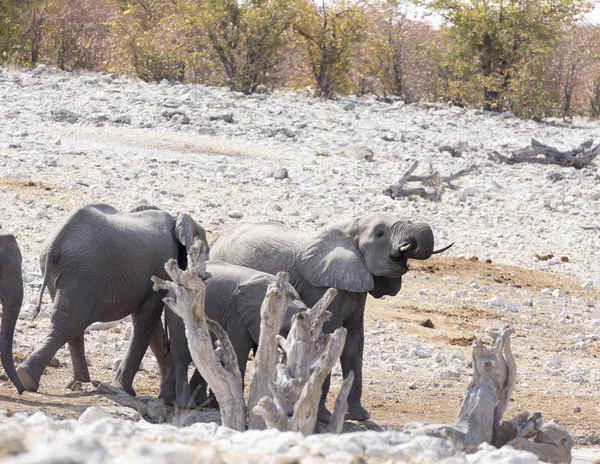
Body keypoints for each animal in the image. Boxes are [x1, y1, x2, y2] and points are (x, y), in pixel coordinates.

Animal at [16, 204, 209, 396]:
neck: (177, 220)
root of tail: (56, 243)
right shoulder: (161, 268)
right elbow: (147, 321)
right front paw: (124, 390)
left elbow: (146, 321)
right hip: (82, 272)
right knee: (70, 324)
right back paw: (29, 377)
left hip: (65, 273)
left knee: (70, 321)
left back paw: (71, 381)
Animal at [211, 212, 450, 422]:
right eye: (380, 233)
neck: (349, 228)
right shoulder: (320, 288)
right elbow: (327, 338)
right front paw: (323, 417)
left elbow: (354, 343)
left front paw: (360, 416)